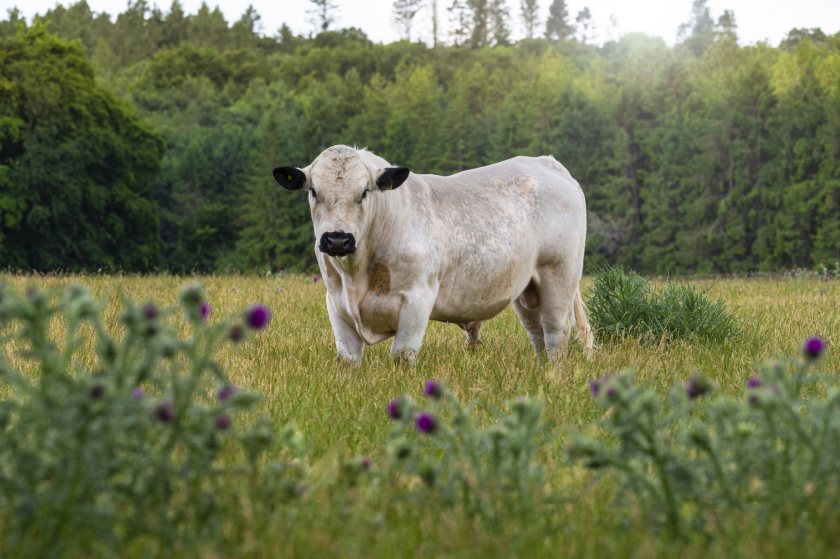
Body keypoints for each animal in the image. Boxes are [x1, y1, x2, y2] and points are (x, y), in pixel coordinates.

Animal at [273, 145, 593, 366]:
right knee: (537, 333)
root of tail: (544, 162)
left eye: (364, 192)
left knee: (556, 332)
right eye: (313, 191)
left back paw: (553, 375)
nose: (338, 239)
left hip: (559, 274)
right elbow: (347, 358)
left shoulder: (417, 298)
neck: (357, 275)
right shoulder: (336, 302)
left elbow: (402, 355)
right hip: (527, 289)